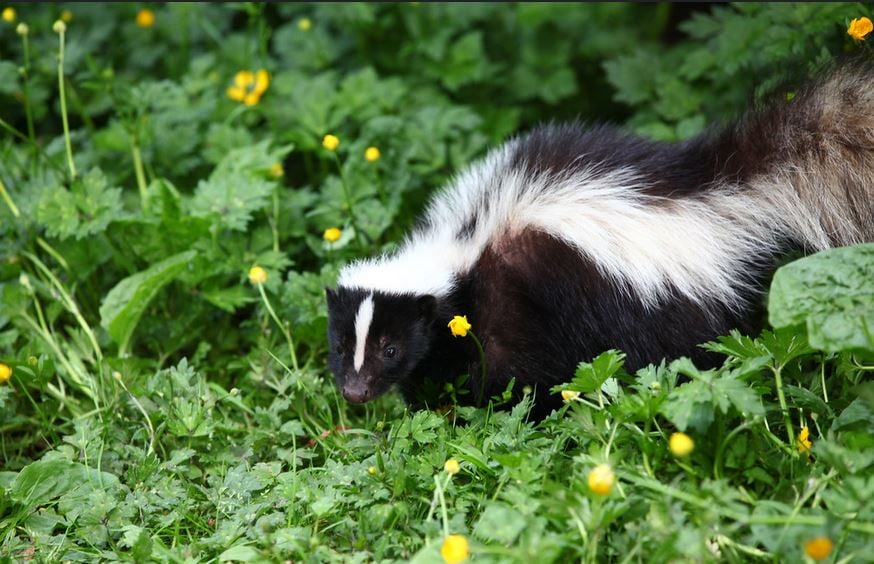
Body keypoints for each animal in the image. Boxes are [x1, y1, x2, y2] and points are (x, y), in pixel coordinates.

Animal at [322, 61, 872, 416]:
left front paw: (489, 414)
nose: (354, 393)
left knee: (689, 357)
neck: (464, 248)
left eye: (390, 349)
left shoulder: (515, 302)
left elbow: (513, 372)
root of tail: (717, 192)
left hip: (663, 313)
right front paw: (427, 409)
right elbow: (440, 365)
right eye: (340, 343)